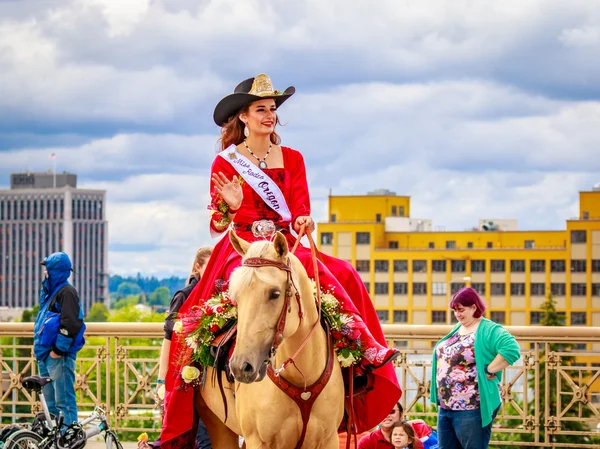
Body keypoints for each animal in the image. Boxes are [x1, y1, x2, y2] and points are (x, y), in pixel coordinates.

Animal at [192, 231, 342, 448]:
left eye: (275, 293)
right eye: (236, 296)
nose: (240, 367)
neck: (303, 378)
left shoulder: (329, 439)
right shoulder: (258, 440)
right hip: (217, 424)